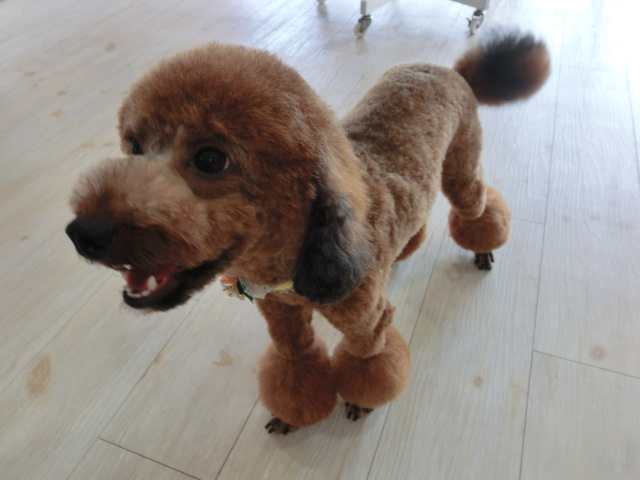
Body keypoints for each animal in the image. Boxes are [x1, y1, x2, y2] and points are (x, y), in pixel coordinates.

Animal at [66, 31, 549, 434]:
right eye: (133, 146)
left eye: (210, 159)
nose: (82, 233)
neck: (297, 264)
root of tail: (449, 69)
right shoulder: (281, 316)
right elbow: (296, 363)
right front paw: (291, 416)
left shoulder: (366, 324)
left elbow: (370, 361)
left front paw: (361, 402)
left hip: (461, 165)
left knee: (479, 202)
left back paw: (482, 250)